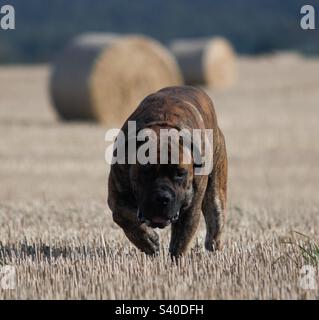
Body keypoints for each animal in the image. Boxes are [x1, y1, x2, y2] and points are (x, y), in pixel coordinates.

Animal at [107, 86, 228, 256]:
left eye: (180, 173)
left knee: (216, 220)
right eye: (146, 171)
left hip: (216, 193)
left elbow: (180, 242)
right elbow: (124, 217)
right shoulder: (116, 196)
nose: (162, 197)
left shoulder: (190, 210)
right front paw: (148, 241)